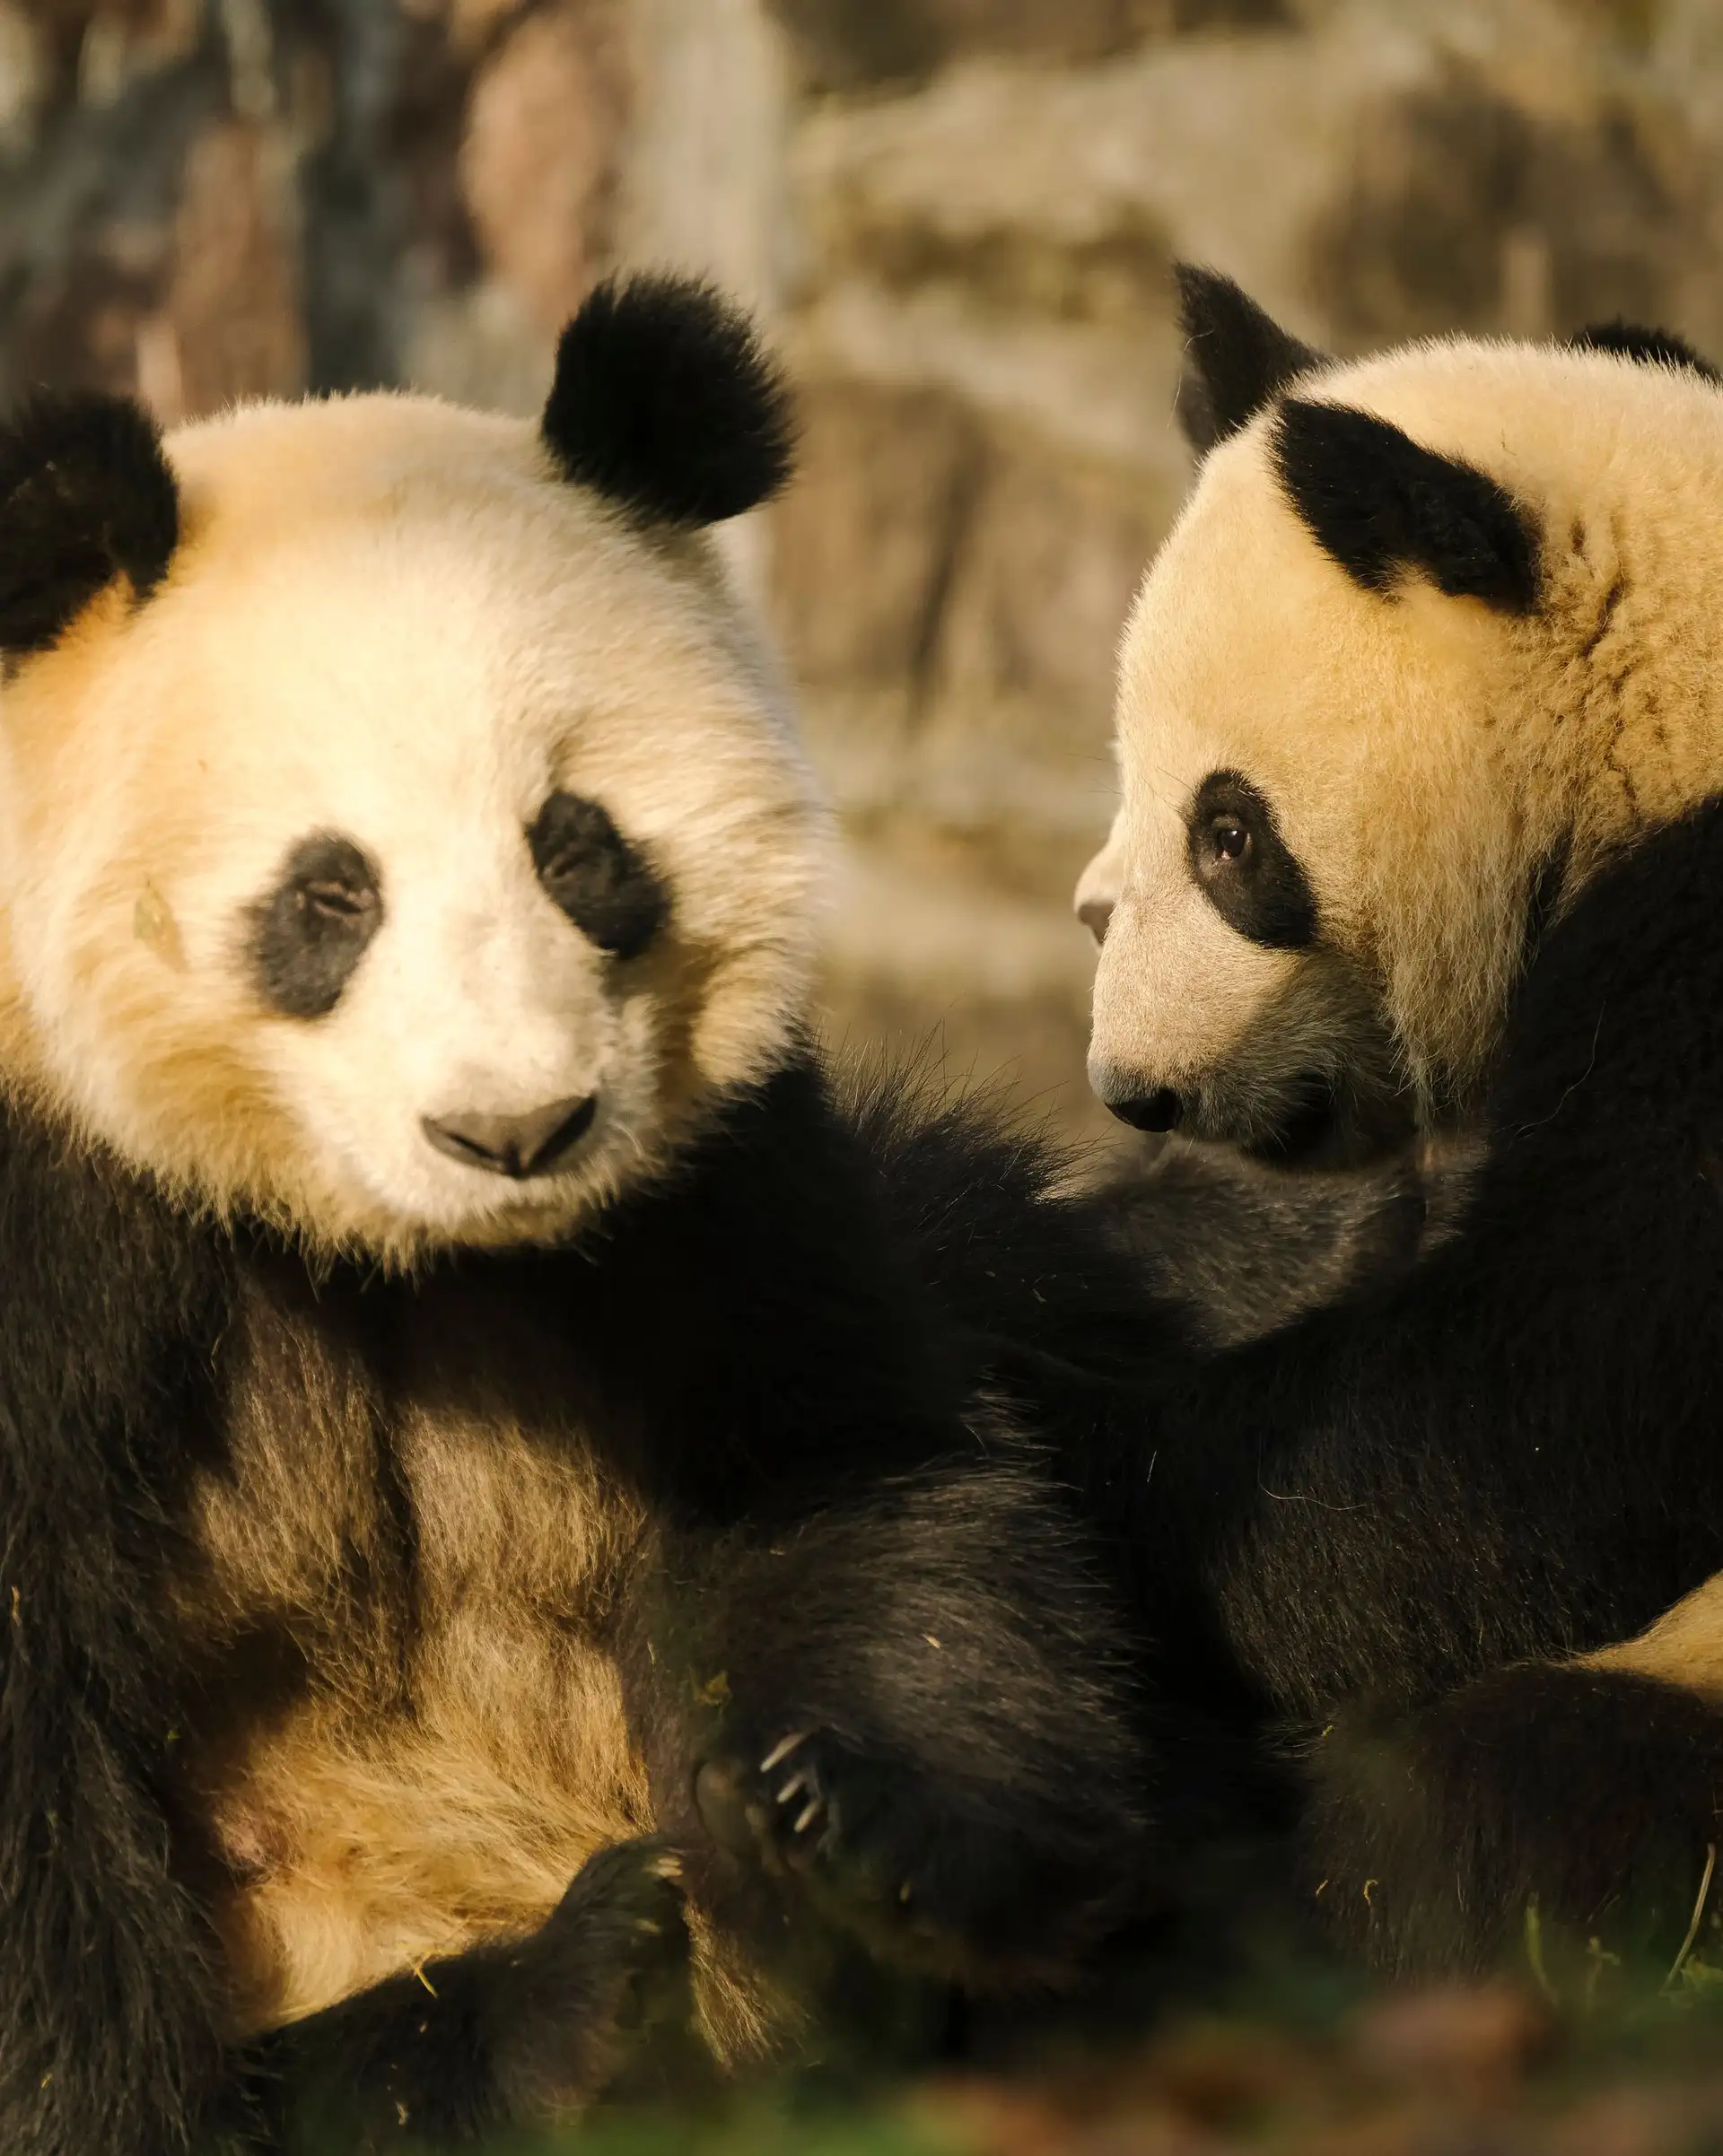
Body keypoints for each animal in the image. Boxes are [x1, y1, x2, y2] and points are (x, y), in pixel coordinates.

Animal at [0, 273, 1156, 2156]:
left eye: (577, 844)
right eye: (330, 893)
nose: (515, 1128)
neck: (396, 1245)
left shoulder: (724, 1174)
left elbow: (845, 1467)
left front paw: (842, 1831)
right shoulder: (48, 1184)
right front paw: (114, 2110)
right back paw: (560, 2008)